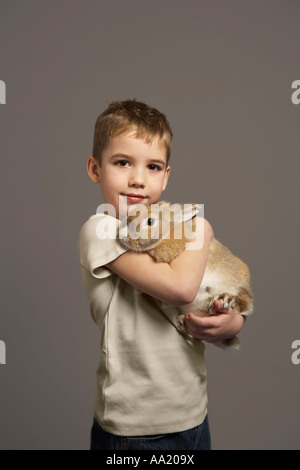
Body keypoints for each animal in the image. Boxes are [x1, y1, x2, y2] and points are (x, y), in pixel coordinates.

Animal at [118, 199, 252, 348]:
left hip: (240, 282)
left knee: (244, 303)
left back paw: (225, 299)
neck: (167, 233)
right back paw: (182, 321)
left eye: (150, 221)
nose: (122, 234)